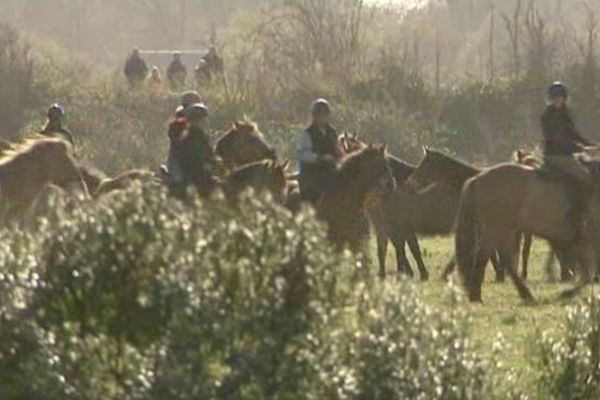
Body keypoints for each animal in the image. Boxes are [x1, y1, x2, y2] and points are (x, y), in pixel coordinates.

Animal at [340, 133, 428, 280]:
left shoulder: (399, 223)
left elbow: (407, 246)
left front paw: (412, 273)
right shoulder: (380, 223)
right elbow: (385, 248)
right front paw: (387, 274)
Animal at [452, 154, 600, 304]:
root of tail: (478, 179)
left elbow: (587, 272)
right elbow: (588, 273)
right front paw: (568, 292)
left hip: (507, 231)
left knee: (507, 261)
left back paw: (525, 293)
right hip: (494, 229)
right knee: (484, 256)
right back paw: (476, 296)